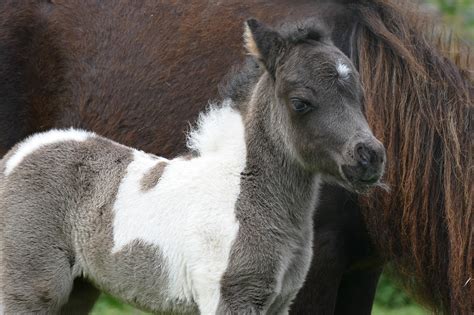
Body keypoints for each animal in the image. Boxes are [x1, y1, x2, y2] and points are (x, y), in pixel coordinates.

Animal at [0, 0, 470, 314]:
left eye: (360, 93)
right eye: (301, 102)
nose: (369, 158)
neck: (242, 193)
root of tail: (19, 155)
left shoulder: (305, 291)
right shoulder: (237, 297)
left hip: (75, 287)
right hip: (28, 288)